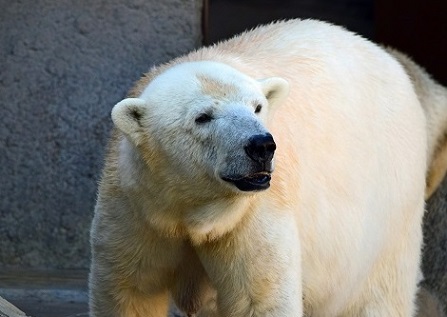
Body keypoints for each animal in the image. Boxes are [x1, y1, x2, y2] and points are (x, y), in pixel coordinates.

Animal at [89, 19, 428, 316]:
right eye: (203, 117)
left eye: (257, 107)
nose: (261, 146)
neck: (192, 212)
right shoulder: (137, 209)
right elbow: (130, 293)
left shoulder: (251, 216)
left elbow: (260, 298)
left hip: (389, 208)